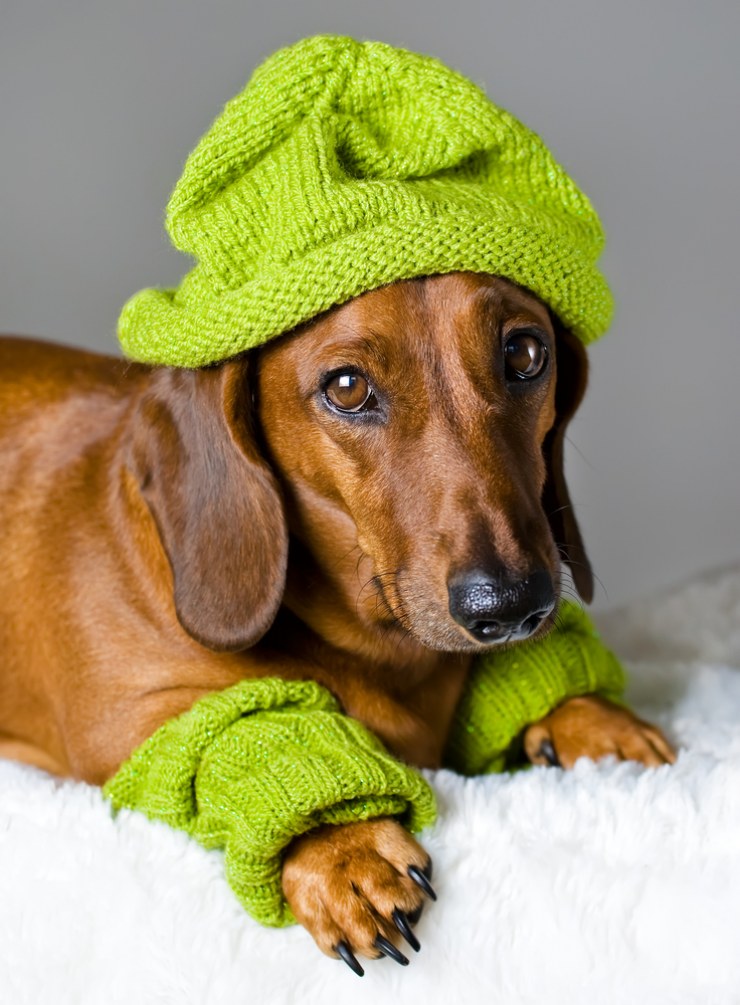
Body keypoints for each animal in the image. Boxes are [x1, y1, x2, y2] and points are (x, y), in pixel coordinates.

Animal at [0, 271, 671, 968]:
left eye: (525, 354)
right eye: (347, 387)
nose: (512, 605)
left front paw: (594, 718)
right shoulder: (124, 726)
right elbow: (220, 739)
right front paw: (341, 845)